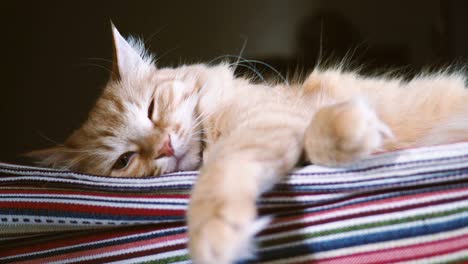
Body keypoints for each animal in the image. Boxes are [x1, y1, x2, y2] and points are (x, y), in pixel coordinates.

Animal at [30, 25, 468, 264]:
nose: (165, 146)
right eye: (124, 160)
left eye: (152, 109)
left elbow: (221, 173)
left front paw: (215, 233)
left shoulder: (269, 116)